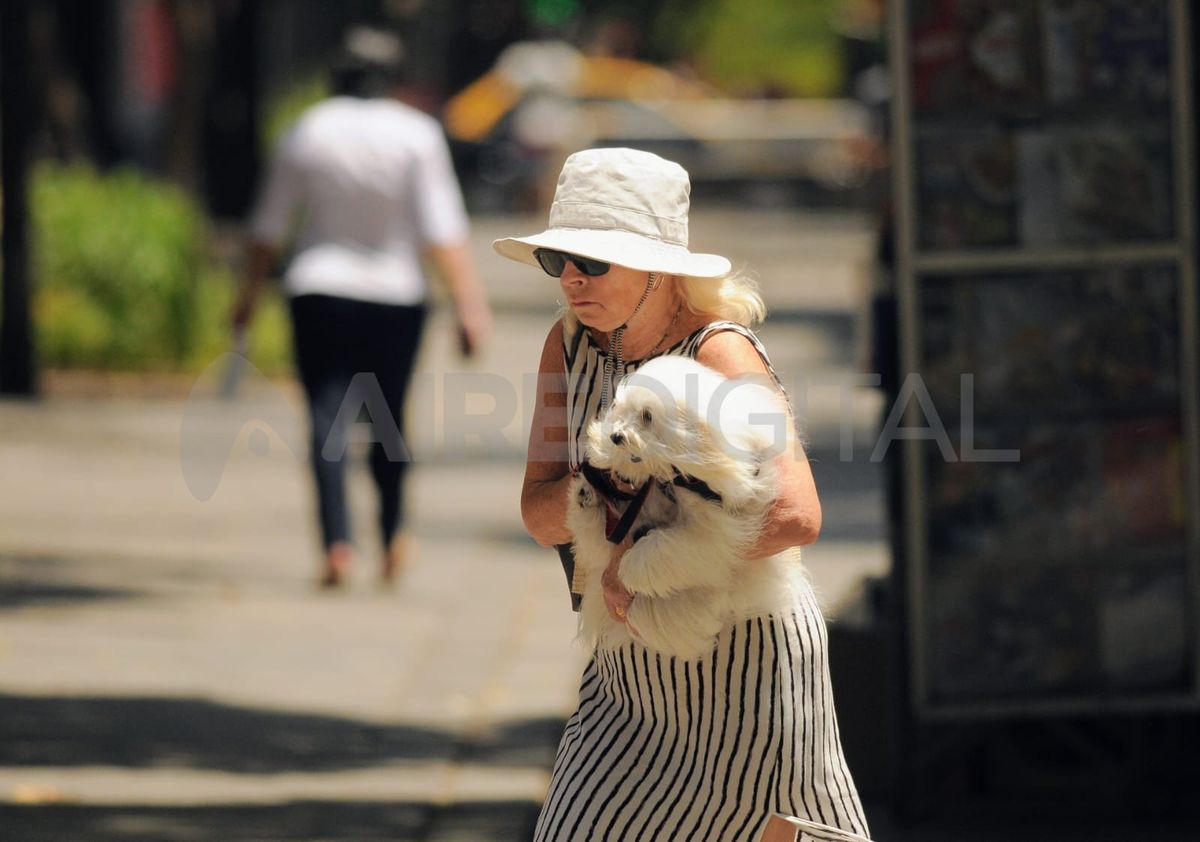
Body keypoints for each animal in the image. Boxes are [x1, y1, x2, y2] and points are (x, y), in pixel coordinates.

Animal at [566, 355, 811, 662]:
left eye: (647, 416)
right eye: (622, 410)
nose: (616, 436)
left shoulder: (717, 532)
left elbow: (662, 545)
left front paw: (630, 569)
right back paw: (584, 497)